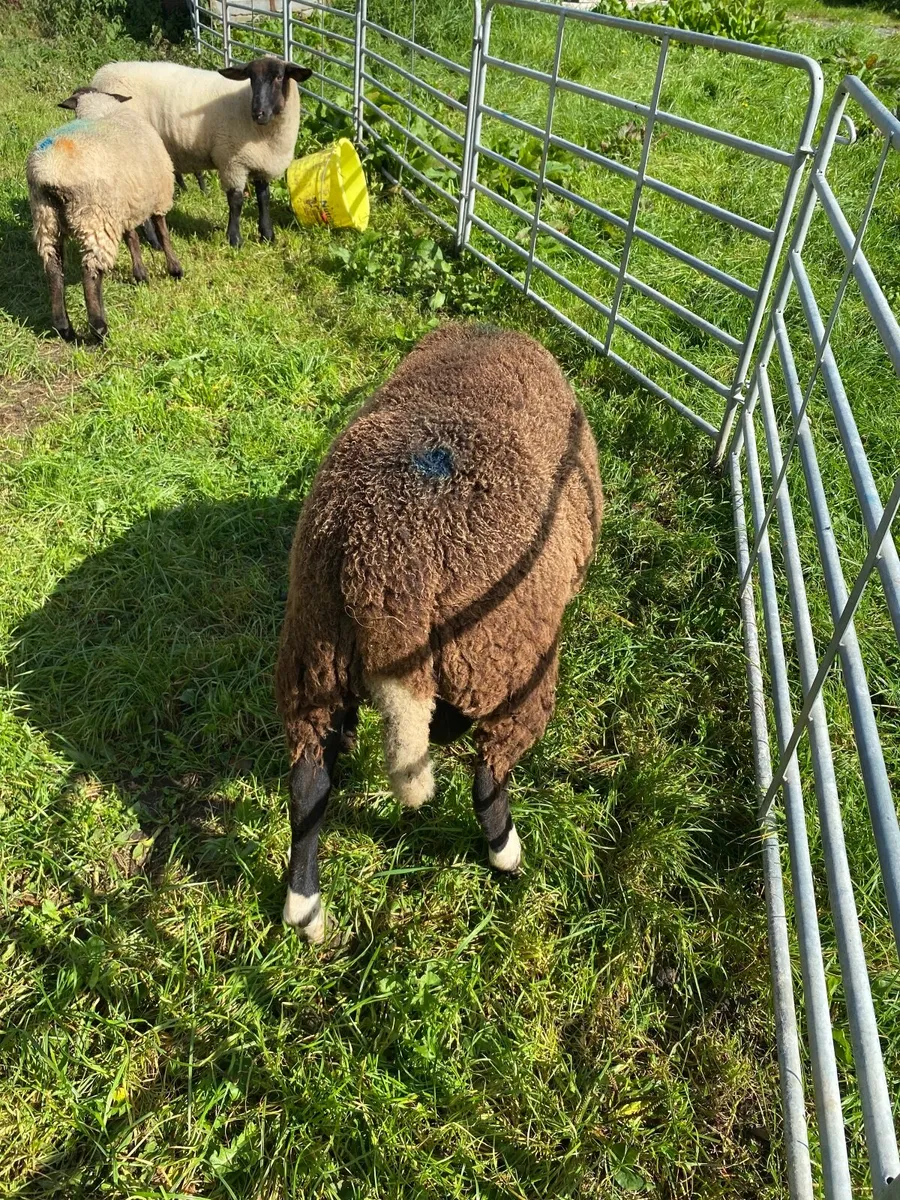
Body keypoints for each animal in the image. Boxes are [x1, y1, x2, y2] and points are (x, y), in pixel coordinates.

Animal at [26, 87, 183, 342]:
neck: (102, 109)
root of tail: (51, 173)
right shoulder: (158, 195)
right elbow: (163, 233)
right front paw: (175, 269)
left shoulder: (126, 204)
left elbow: (132, 237)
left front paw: (140, 274)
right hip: (94, 219)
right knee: (90, 273)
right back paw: (99, 328)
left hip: (46, 218)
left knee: (53, 269)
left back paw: (63, 327)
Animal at [91, 57, 312, 248]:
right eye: (251, 77)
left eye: (279, 77)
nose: (258, 113)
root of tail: (102, 75)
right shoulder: (232, 161)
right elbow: (236, 202)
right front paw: (235, 240)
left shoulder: (261, 162)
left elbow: (263, 199)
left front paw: (267, 235)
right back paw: (154, 242)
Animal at [275, 323, 604, 943]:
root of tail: (386, 573)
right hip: (507, 665)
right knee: (486, 778)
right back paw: (507, 855)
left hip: (313, 651)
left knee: (307, 786)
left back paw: (305, 911)